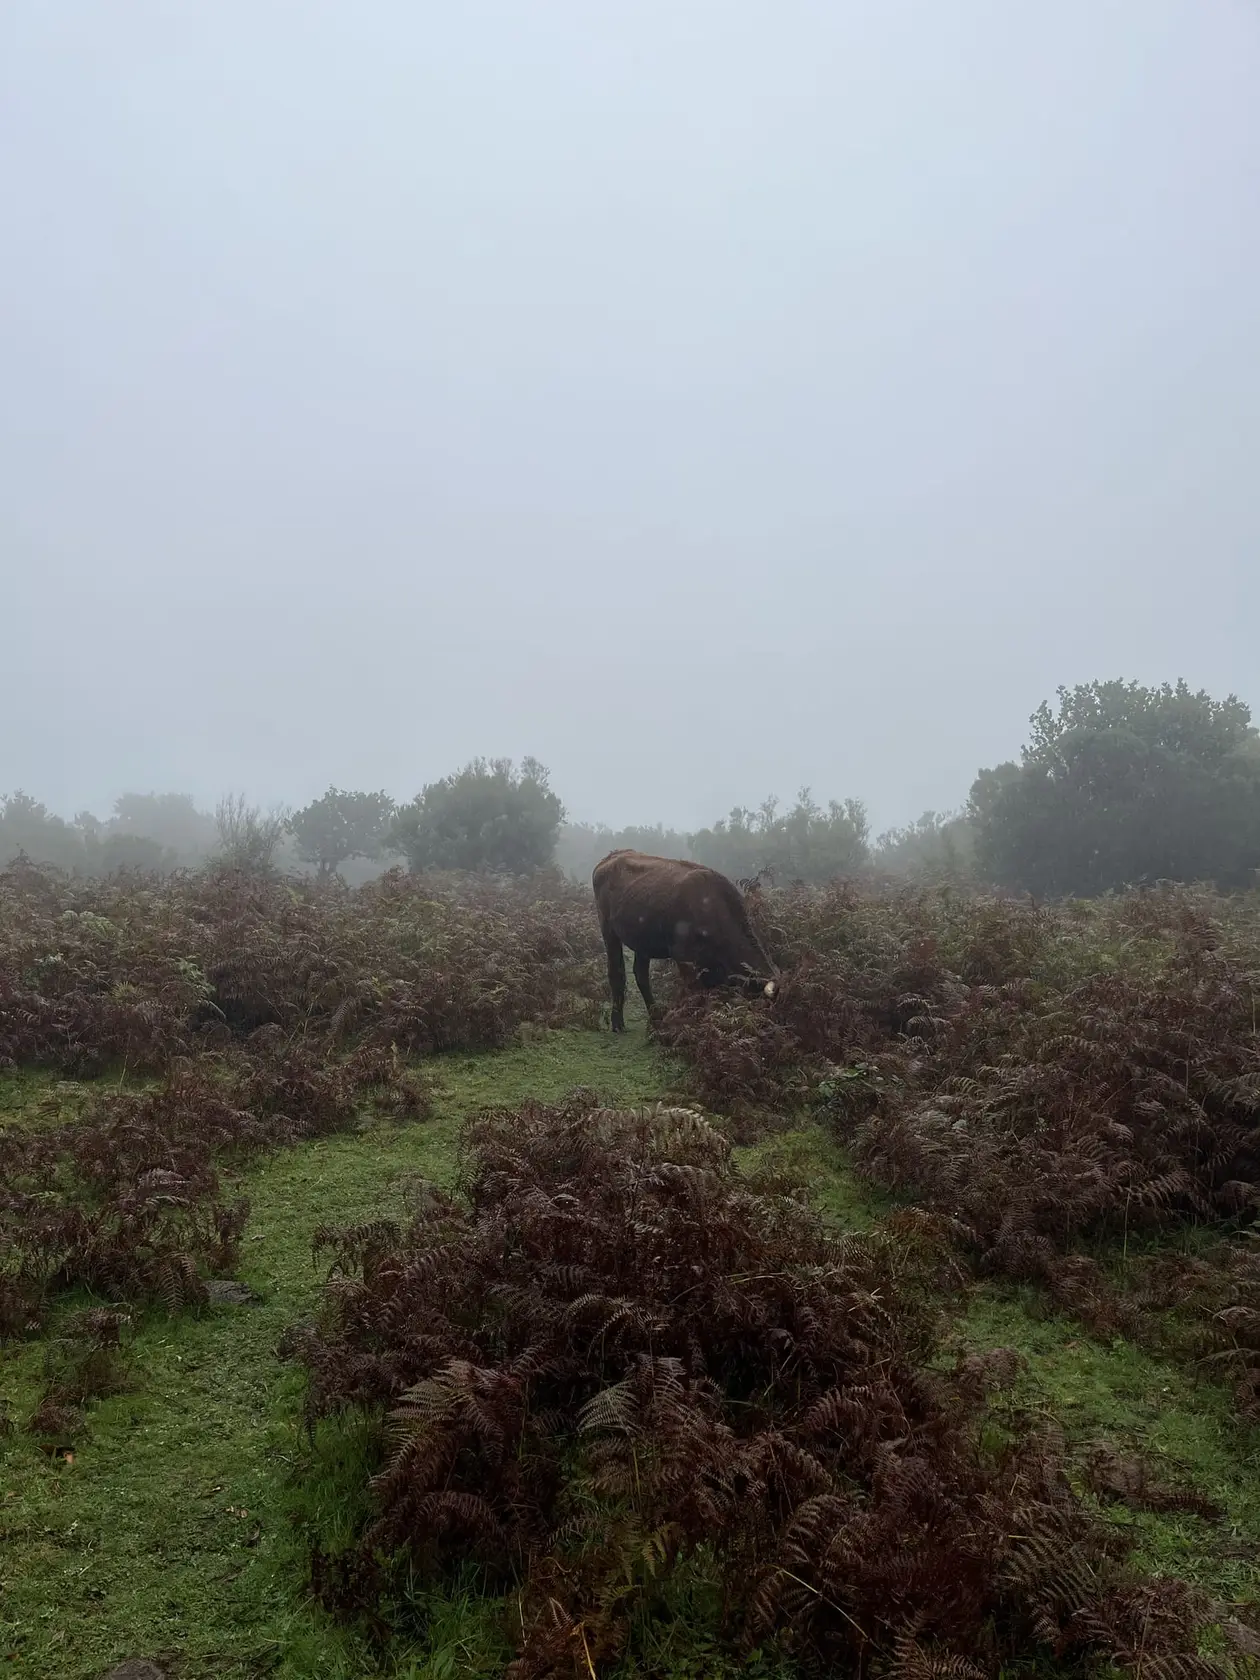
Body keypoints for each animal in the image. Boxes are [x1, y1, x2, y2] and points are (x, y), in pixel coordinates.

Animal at [592, 849, 778, 1032]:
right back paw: (617, 1023)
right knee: (617, 973)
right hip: (608, 931)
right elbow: (693, 997)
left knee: (641, 975)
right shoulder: (684, 958)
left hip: (642, 941)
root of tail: (611, 856)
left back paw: (656, 1019)